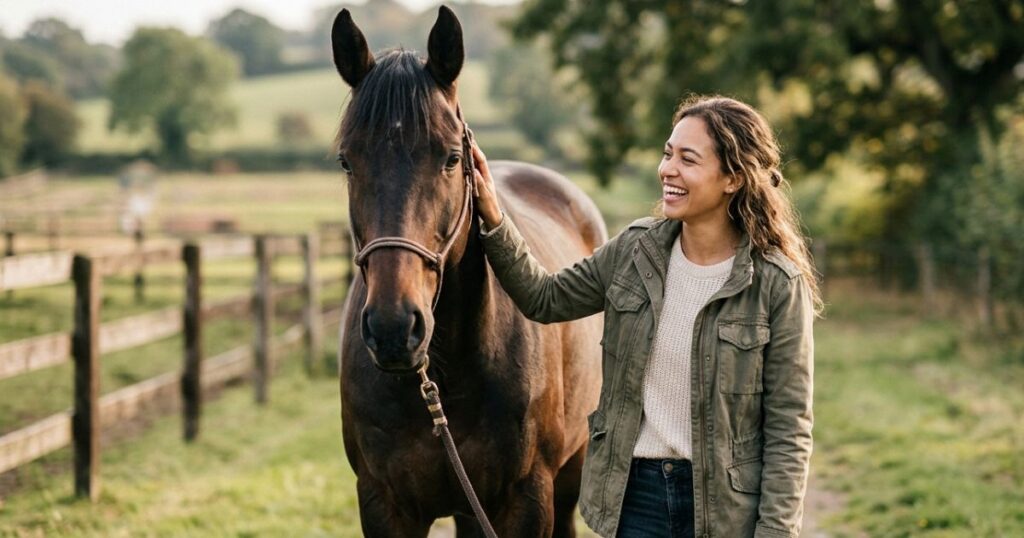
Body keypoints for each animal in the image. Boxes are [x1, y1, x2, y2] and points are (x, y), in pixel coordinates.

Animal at [333, 7, 606, 537]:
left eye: (451, 158)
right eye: (347, 162)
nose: (394, 328)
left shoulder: (526, 501)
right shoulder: (384, 504)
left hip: (570, 473)